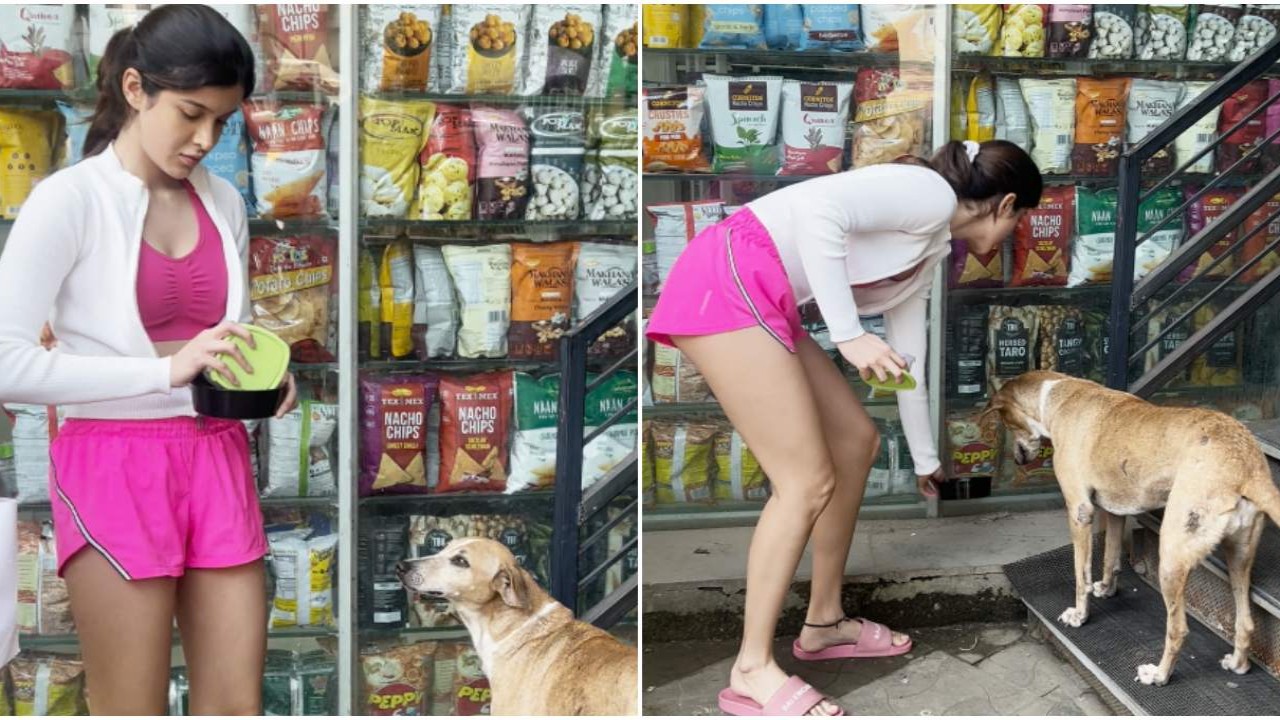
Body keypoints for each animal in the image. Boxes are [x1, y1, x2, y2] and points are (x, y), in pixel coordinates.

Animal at [983, 368, 1274, 681]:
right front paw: (1106, 588)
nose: (1017, 460)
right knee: (1245, 622)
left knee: (1178, 629)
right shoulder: (1115, 511)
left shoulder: (1079, 512)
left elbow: (1080, 576)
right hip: (1239, 558)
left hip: (1171, 557)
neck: (1057, 395)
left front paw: (1079, 615)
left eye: (1007, 423)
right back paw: (1237, 664)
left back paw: (1159, 675)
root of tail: (1247, 466)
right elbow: (1111, 558)